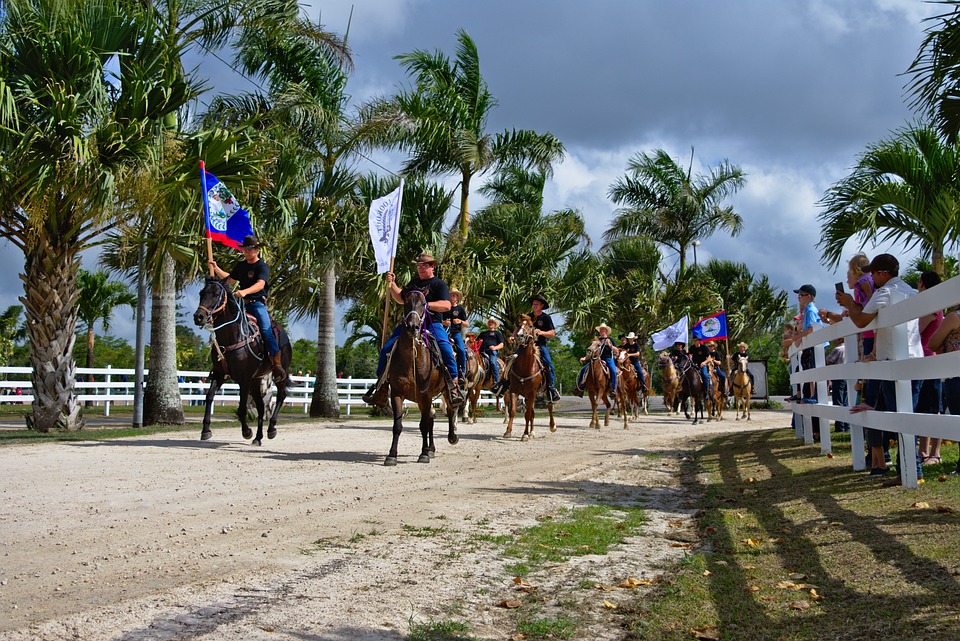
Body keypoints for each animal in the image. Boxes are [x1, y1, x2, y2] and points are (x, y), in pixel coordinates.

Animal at [191, 276, 288, 444]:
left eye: (216, 294)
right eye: (201, 293)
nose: (199, 317)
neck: (234, 336)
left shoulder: (245, 379)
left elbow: (242, 408)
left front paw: (247, 431)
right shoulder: (220, 374)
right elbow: (209, 397)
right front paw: (206, 430)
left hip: (280, 374)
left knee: (281, 397)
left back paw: (271, 428)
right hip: (256, 380)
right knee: (261, 406)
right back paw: (258, 438)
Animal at [380, 290, 460, 464]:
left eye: (424, 304)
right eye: (405, 302)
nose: (412, 327)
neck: (412, 359)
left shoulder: (426, 394)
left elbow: (423, 425)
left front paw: (423, 454)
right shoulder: (397, 393)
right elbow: (397, 426)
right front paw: (392, 455)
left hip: (444, 390)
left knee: (450, 410)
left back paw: (451, 437)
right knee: (431, 418)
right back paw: (431, 449)